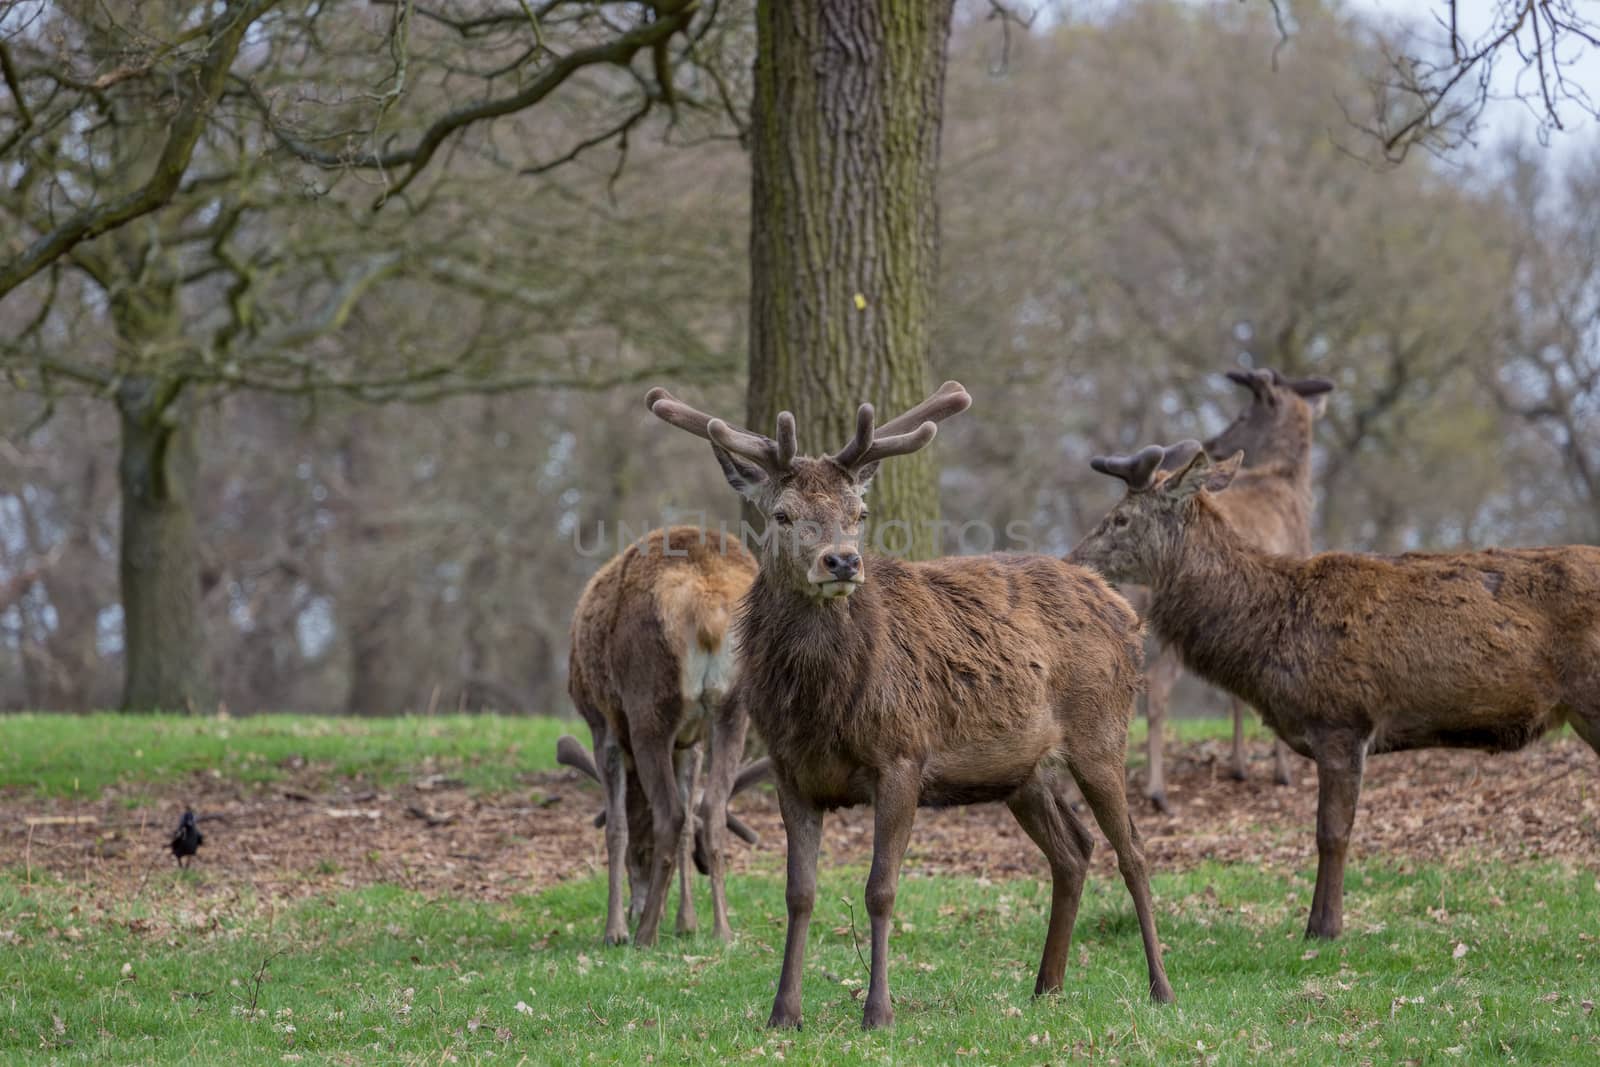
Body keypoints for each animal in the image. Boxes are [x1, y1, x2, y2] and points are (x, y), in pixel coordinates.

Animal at [649, 382, 1177, 1023]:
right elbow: (799, 893)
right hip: (1022, 773)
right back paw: (1046, 985)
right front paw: (784, 1013)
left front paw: (878, 1011)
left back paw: (1160, 986)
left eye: (859, 514)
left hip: (1101, 733)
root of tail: (1124, 610)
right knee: (1073, 851)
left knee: (1135, 852)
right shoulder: (789, 771)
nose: (842, 561)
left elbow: (881, 889)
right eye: (782, 514)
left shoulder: (902, 756)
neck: (823, 708)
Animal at [1062, 438, 1600, 940]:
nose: (1072, 559)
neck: (1267, 635)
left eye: (1120, 518)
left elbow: (1332, 832)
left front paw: (1323, 927)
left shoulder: (1342, 718)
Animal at [1139, 369, 1337, 809]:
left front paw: (1239, 765)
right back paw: (1156, 791)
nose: (1214, 443)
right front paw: (1281, 772)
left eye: (1243, 415)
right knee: (1156, 688)